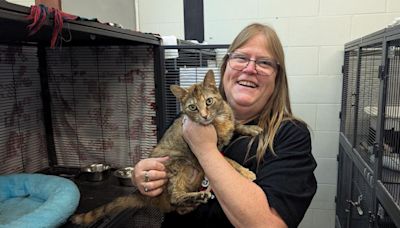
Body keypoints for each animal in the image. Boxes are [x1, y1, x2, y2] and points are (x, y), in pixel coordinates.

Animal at [71, 70, 262, 226]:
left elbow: (236, 124)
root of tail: (143, 195)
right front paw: (246, 172)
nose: (204, 116)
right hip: (177, 164)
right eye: (193, 107)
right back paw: (198, 197)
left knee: (179, 207)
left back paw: (195, 202)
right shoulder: (207, 152)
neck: (218, 120)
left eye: (209, 101)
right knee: (175, 197)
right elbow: (229, 160)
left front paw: (252, 128)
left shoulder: (228, 121)